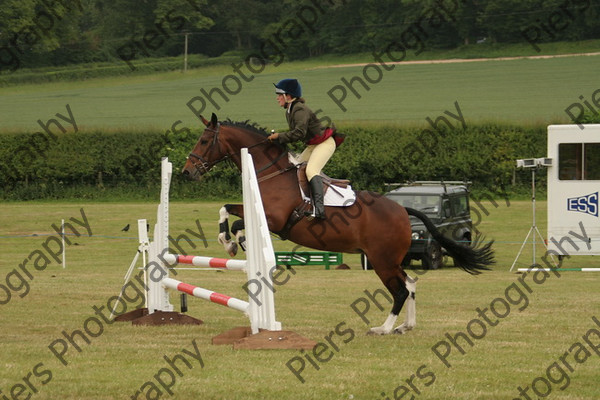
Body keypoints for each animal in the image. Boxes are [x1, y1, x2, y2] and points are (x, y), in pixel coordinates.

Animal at [184, 112, 496, 334]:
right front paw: (228, 242)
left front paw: (233, 243)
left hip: (382, 260)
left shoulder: (274, 219)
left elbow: (238, 224)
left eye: (204, 141)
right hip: (389, 259)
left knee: (400, 290)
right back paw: (406, 326)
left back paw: (383, 328)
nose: (188, 172)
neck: (269, 171)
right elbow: (226, 209)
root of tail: (401, 209)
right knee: (410, 283)